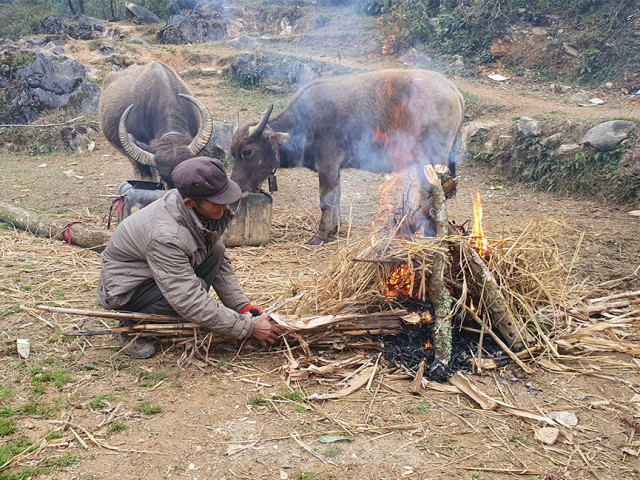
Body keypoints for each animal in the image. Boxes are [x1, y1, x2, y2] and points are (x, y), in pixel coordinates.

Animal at [230, 67, 464, 244]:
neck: (306, 122)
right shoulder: (335, 170)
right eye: (233, 153)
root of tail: (452, 89)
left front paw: (320, 235)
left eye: (248, 151)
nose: (236, 186)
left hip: (434, 160)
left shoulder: (328, 165)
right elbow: (337, 196)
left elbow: (326, 201)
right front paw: (334, 228)